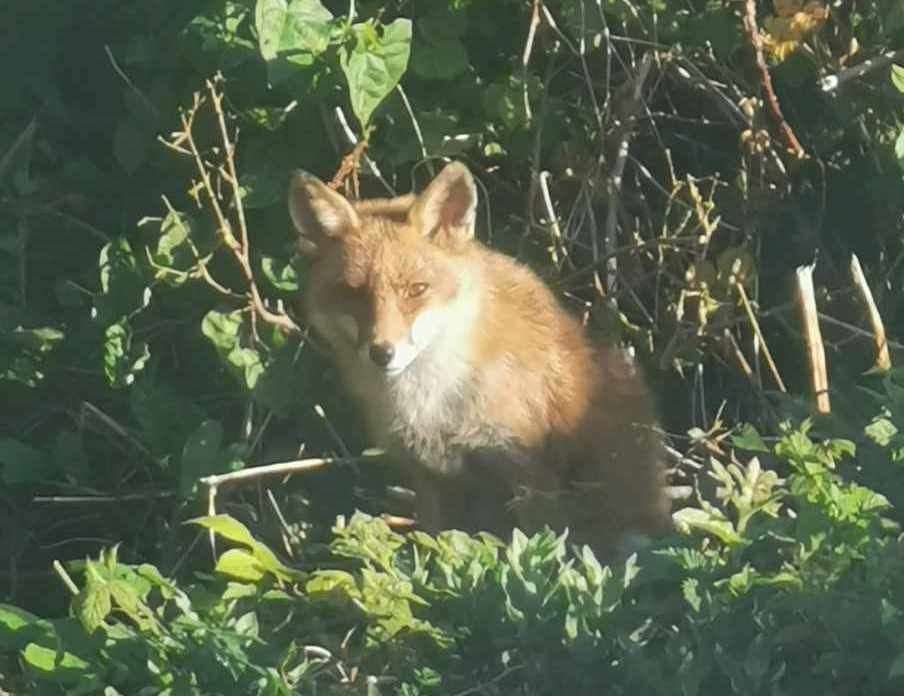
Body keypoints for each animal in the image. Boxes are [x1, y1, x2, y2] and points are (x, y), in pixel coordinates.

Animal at [290, 160, 672, 556]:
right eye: (352, 293)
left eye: (417, 290)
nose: (382, 352)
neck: (435, 402)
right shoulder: (428, 474)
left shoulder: (528, 468)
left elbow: (543, 546)